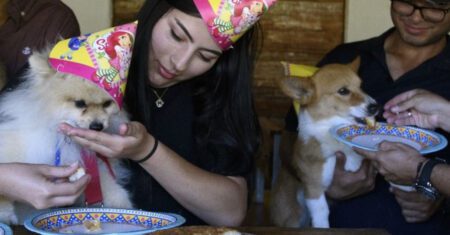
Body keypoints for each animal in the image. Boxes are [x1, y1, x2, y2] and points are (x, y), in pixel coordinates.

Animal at [0, 50, 133, 224]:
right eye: (80, 103)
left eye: (107, 104)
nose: (97, 126)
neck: (63, 139)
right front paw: (5, 213)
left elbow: (106, 185)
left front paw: (122, 205)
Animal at [270, 57, 380, 229]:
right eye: (343, 91)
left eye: (361, 86)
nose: (375, 106)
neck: (330, 125)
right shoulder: (314, 187)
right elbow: (321, 213)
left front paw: (353, 159)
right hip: (292, 218)